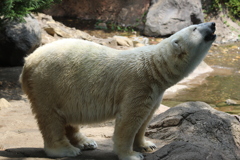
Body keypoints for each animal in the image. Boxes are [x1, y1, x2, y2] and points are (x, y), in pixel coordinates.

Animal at [20, 21, 216, 159]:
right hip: (47, 83)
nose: (213, 24)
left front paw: (147, 144)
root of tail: (27, 62)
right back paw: (66, 150)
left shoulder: (154, 91)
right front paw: (132, 155)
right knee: (50, 117)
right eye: (195, 28)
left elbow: (146, 118)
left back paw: (87, 142)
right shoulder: (137, 84)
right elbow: (129, 119)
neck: (153, 68)